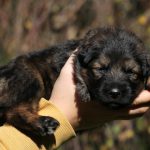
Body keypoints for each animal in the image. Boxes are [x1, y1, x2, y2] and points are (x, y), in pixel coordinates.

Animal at [0, 27, 149, 136]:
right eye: (101, 69)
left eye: (130, 72)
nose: (114, 93)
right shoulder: (74, 56)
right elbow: (77, 68)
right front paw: (84, 90)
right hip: (30, 75)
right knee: (14, 111)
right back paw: (43, 123)